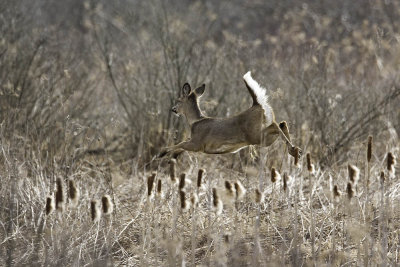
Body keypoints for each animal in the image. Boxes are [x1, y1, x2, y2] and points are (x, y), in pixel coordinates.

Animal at [158, 71, 302, 159]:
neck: (195, 122)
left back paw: (294, 150)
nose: (173, 109)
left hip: (256, 135)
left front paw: (163, 152)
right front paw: (172, 155)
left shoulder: (197, 143)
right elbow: (181, 146)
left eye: (178, 100)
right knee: (281, 123)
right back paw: (296, 150)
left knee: (276, 126)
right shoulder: (195, 143)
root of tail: (257, 104)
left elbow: (180, 144)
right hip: (263, 138)